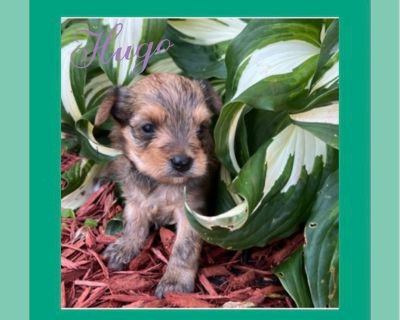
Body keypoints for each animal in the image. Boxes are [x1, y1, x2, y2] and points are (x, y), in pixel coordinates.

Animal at [94, 72, 222, 298]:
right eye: (147, 128)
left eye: (201, 128)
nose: (182, 162)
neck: (159, 181)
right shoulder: (135, 202)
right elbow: (134, 226)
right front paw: (124, 247)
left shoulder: (191, 212)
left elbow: (184, 248)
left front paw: (175, 281)